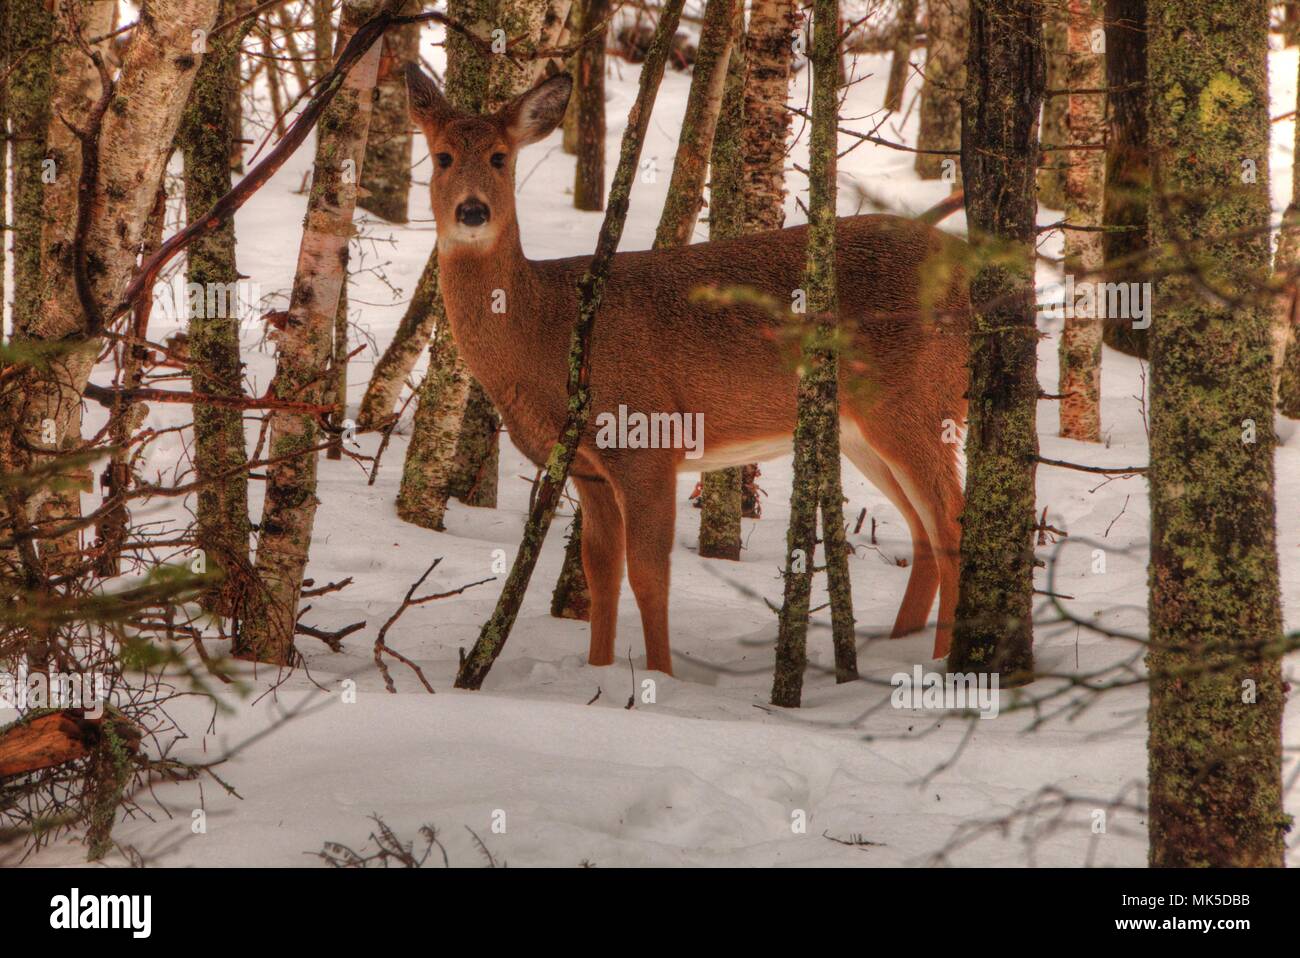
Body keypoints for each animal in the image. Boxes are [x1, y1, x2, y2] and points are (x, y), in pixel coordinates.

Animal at [403, 65, 967, 670]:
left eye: (500, 157)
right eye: (441, 156)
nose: (473, 211)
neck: (547, 329)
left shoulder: (647, 440)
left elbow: (650, 575)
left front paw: (661, 675)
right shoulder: (586, 466)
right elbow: (601, 571)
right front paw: (598, 671)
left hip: (915, 401)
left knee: (953, 523)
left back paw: (946, 662)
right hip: (862, 428)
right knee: (924, 533)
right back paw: (902, 649)